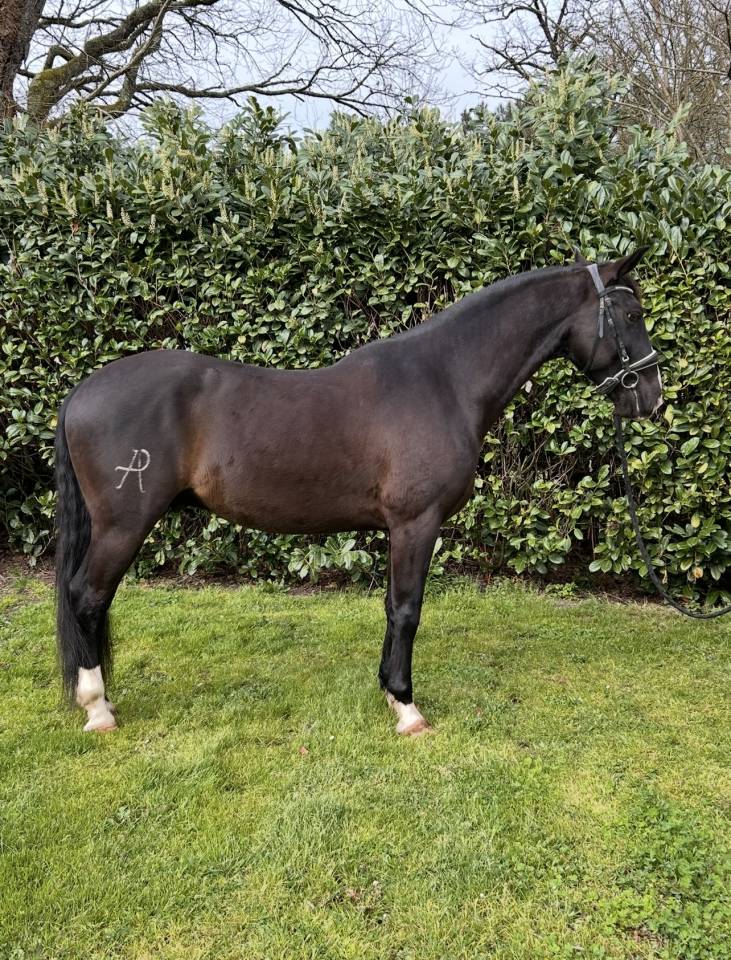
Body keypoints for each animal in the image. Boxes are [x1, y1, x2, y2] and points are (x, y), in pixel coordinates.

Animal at [55, 249, 663, 735]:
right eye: (633, 315)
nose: (652, 398)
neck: (443, 381)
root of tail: (81, 392)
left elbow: (392, 607)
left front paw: (389, 692)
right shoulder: (416, 523)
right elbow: (407, 609)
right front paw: (407, 709)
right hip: (124, 525)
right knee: (87, 597)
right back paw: (98, 709)